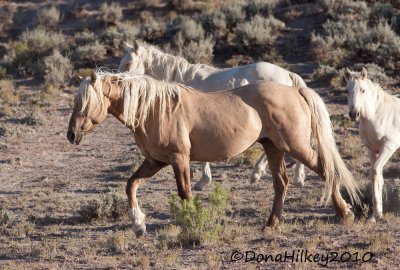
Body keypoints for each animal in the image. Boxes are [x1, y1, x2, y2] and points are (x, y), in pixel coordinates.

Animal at [66, 71, 360, 236]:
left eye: (86, 103)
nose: (72, 135)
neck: (155, 109)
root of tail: (296, 89)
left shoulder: (179, 159)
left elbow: (184, 193)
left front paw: (192, 223)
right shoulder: (156, 160)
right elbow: (131, 185)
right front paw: (139, 224)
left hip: (295, 146)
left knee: (326, 170)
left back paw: (345, 214)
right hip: (273, 147)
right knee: (281, 184)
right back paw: (271, 224)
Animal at [344, 67, 400, 221]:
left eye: (363, 90)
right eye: (346, 90)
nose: (354, 114)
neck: (378, 115)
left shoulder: (388, 147)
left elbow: (375, 172)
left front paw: (377, 214)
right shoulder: (372, 150)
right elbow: (377, 177)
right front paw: (375, 215)